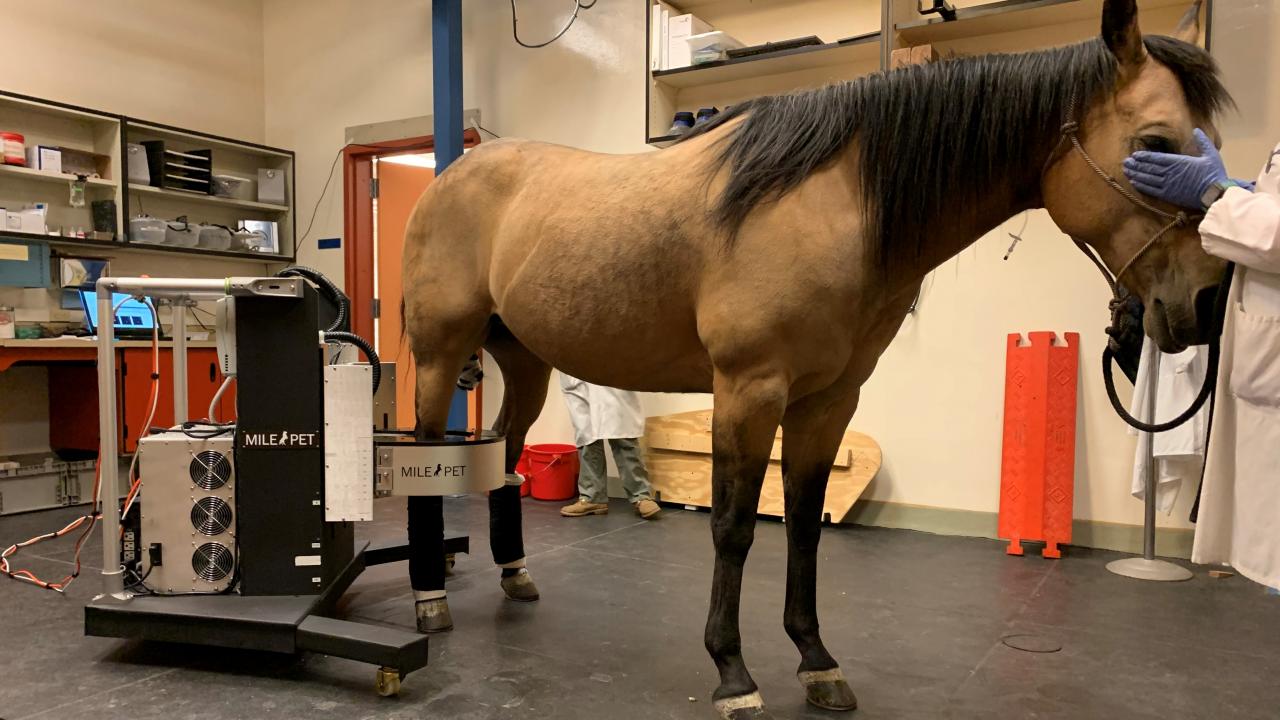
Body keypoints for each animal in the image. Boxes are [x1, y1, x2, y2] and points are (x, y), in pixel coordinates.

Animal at [399, 2, 1228, 712]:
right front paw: (733, 673)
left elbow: (802, 525)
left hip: (527, 363)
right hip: (440, 359)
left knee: (504, 457)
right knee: (425, 461)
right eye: (1156, 145)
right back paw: (429, 598)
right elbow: (734, 527)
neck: (835, 205)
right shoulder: (749, 390)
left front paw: (816, 660)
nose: (1205, 301)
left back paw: (513, 574)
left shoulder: (828, 400)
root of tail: (452, 175)